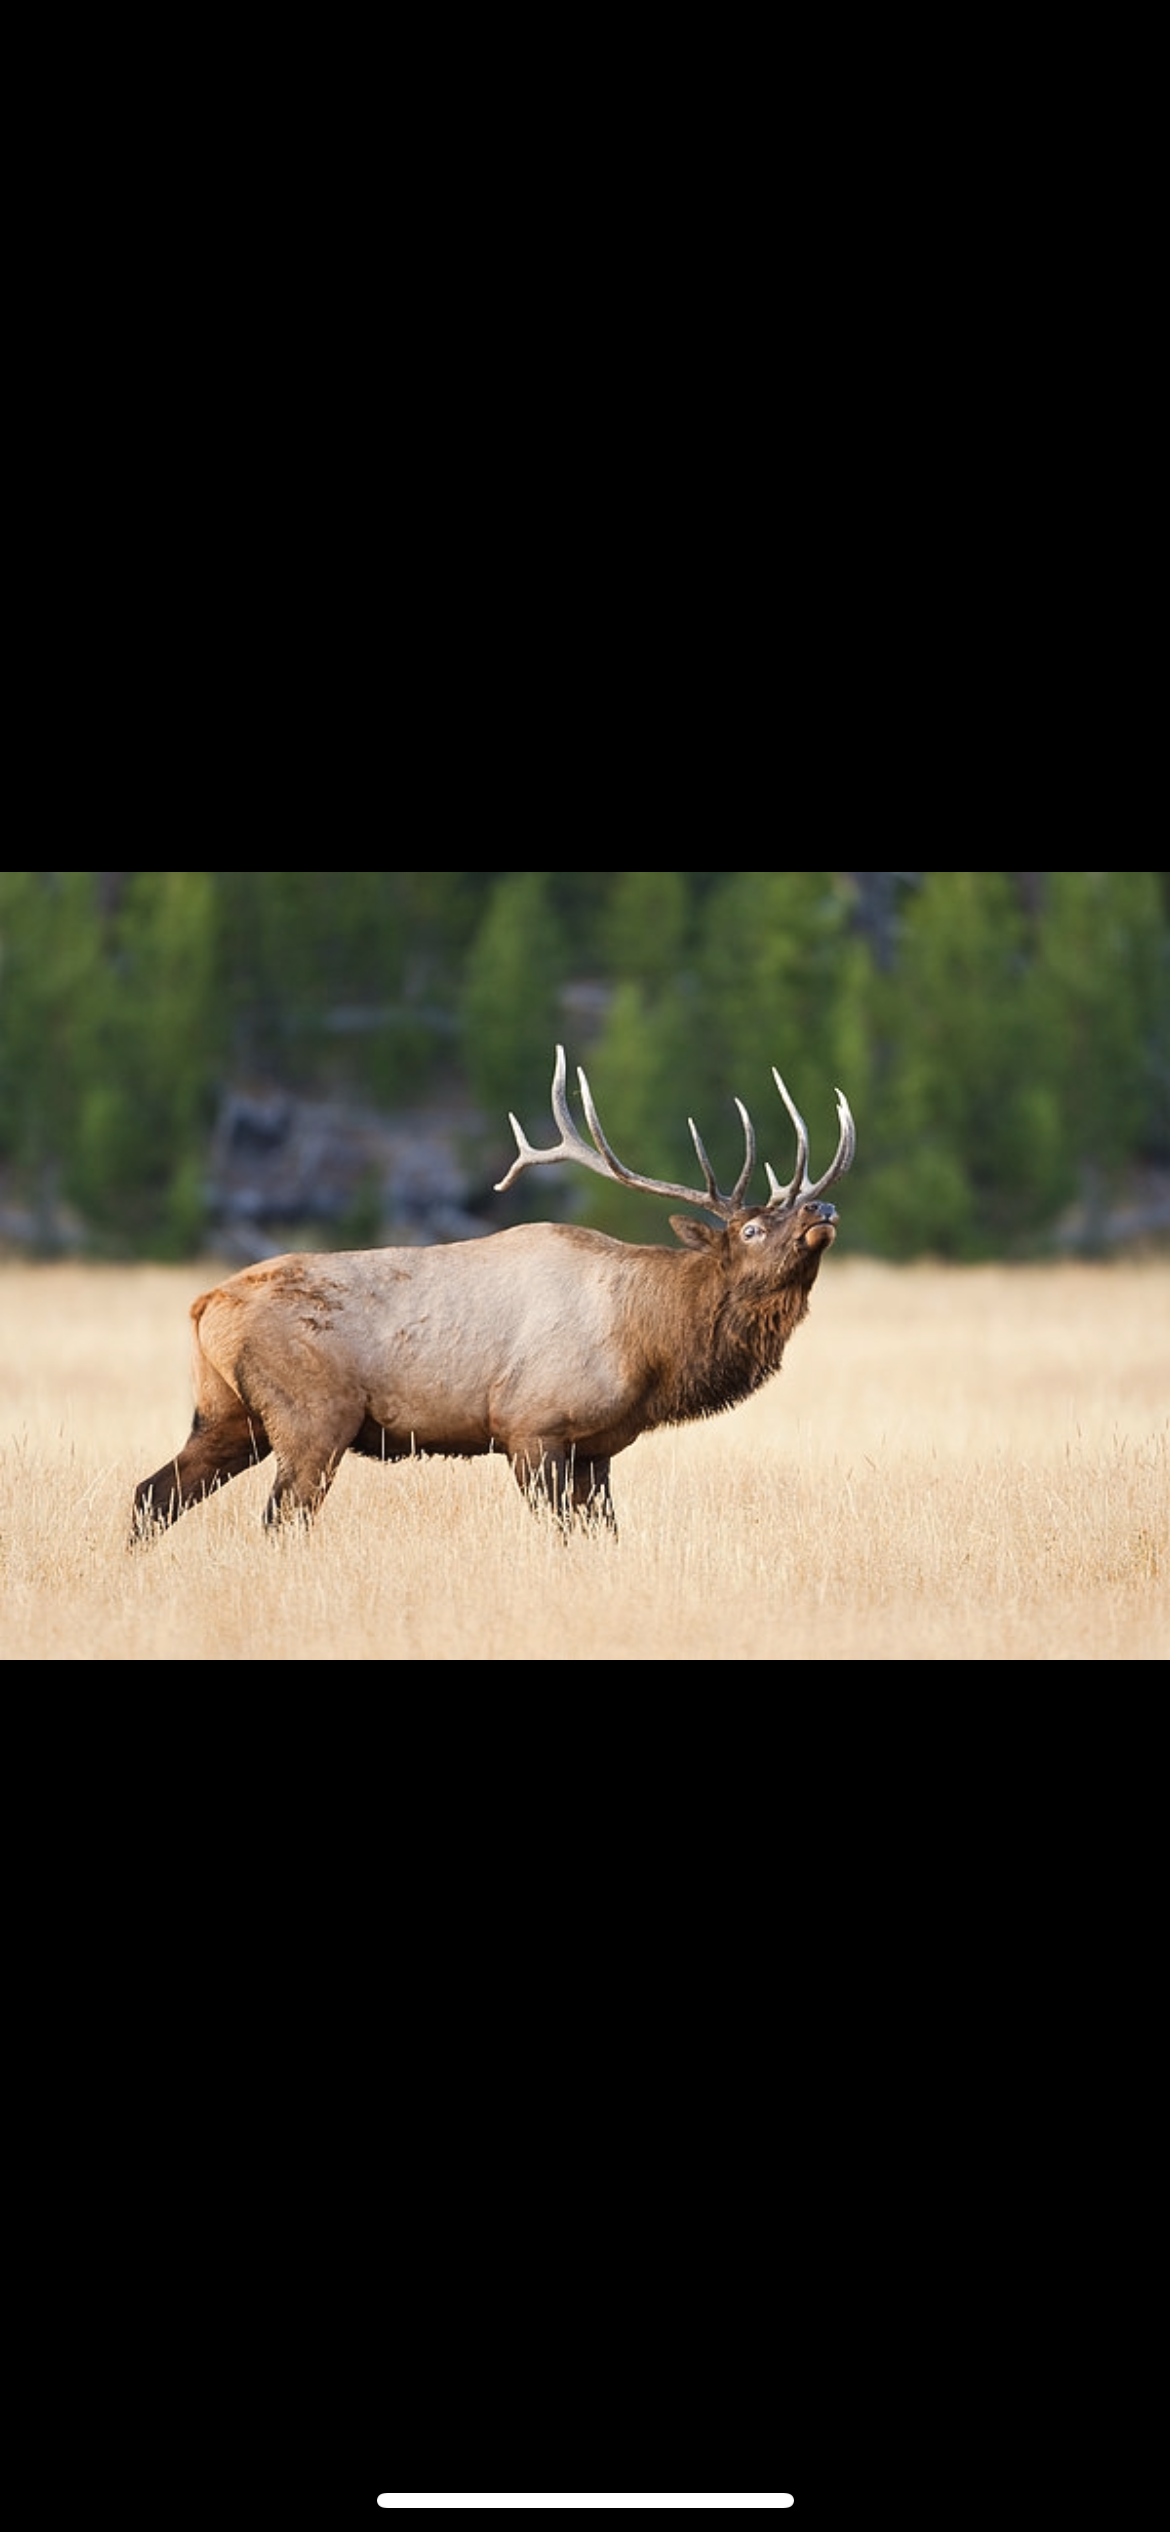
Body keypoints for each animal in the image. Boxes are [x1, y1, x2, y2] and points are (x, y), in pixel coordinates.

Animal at [129, 1046, 855, 1541]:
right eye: (752, 1228)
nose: (823, 1211)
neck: (650, 1347)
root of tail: (205, 1305)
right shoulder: (531, 1427)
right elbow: (562, 1533)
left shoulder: (597, 1448)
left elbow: (604, 1535)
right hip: (312, 1417)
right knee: (280, 1518)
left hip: (229, 1416)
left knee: (151, 1495)